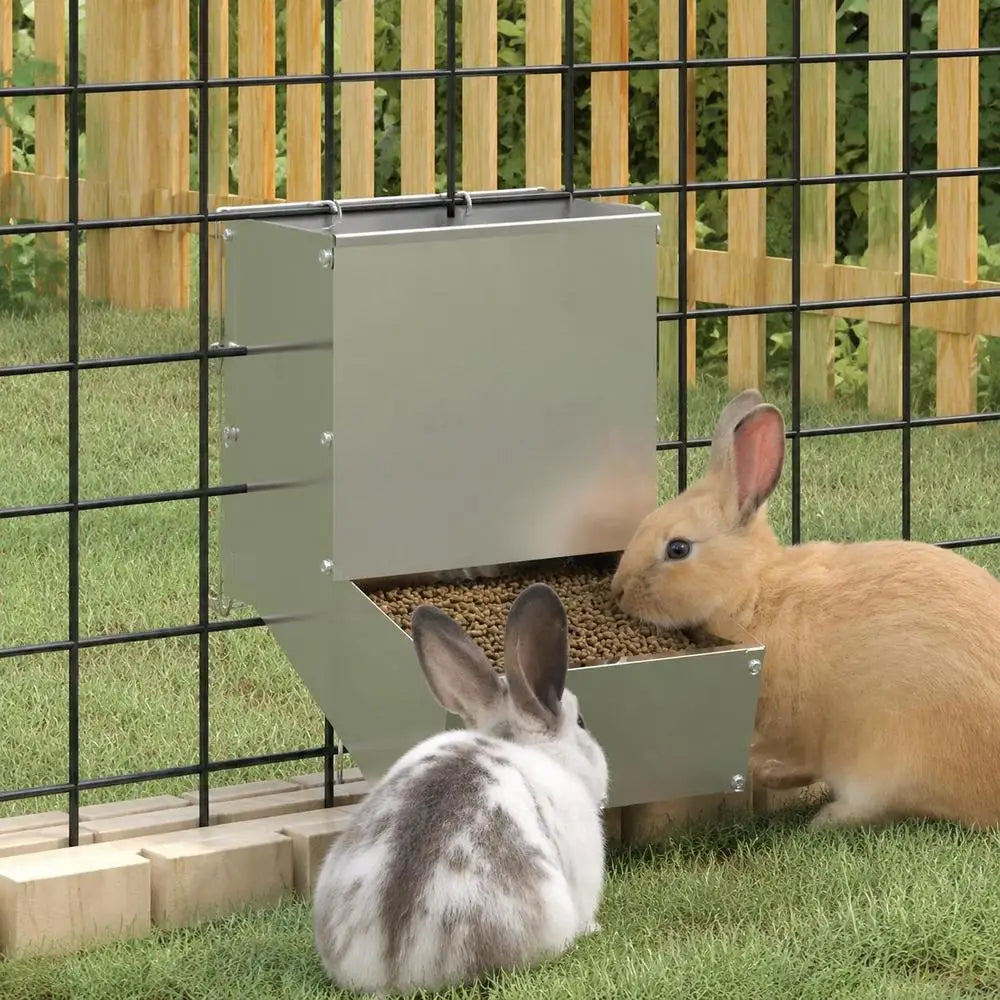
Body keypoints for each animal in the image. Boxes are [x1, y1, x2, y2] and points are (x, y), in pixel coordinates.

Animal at [610, 387, 1000, 830]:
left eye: (678, 549)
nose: (618, 591)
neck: (754, 595)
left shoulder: (793, 728)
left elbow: (790, 759)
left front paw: (759, 772)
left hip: (894, 761)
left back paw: (824, 819)